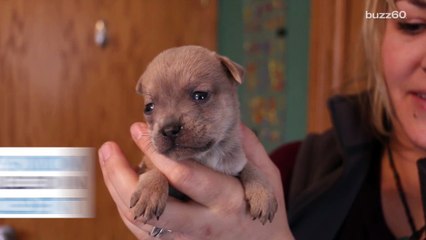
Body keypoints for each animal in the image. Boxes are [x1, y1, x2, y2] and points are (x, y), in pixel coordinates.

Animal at [131, 45, 276, 225]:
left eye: (200, 95)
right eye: (148, 108)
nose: (169, 129)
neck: (206, 156)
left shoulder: (235, 163)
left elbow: (248, 165)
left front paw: (263, 191)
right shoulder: (146, 163)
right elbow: (154, 168)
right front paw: (150, 190)